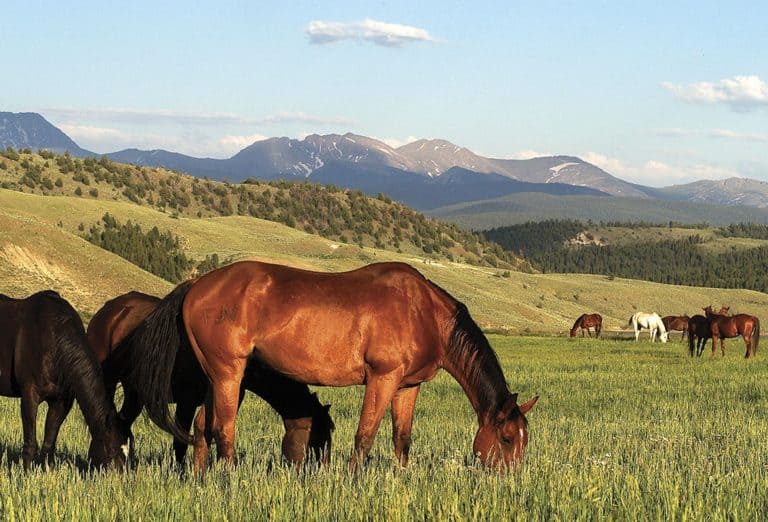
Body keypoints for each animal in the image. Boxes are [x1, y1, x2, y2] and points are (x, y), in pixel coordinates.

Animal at [0, 291, 128, 470]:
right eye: (111, 453)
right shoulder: (30, 396)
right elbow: (30, 443)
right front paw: (26, 472)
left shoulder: (61, 402)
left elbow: (49, 443)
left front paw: (47, 472)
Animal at [92, 290, 334, 466]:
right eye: (319, 436)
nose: (321, 471)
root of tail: (111, 309)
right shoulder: (187, 399)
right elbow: (181, 440)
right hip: (109, 381)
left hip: (135, 392)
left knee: (122, 422)